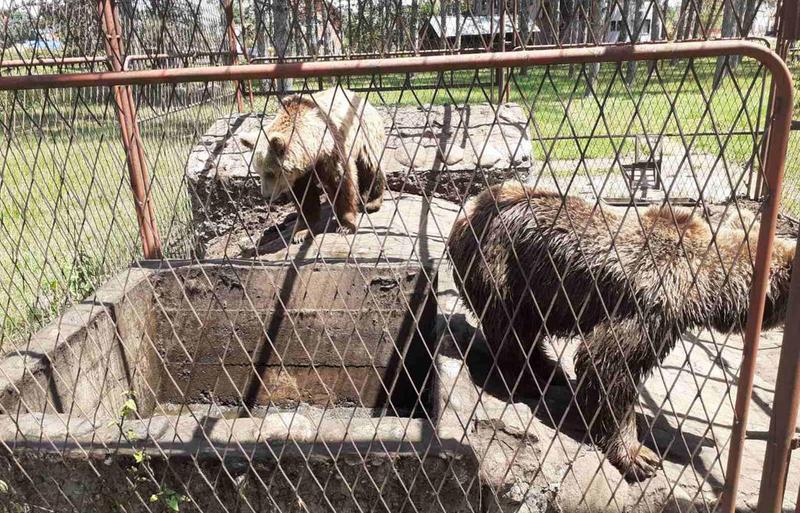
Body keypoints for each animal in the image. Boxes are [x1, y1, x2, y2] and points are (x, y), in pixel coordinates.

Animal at [241, 86, 384, 242]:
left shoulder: (331, 149)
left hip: (364, 132)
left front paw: (345, 225)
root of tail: (360, 97)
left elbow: (342, 181)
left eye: (270, 173)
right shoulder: (299, 173)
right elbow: (304, 196)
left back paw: (372, 201)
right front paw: (301, 231)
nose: (266, 195)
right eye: (258, 172)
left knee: (370, 165)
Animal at [446, 181, 796, 480]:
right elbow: (608, 363)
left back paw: (548, 368)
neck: (702, 281)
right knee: (512, 329)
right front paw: (638, 455)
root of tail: (468, 209)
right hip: (504, 267)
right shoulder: (651, 304)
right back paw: (529, 379)